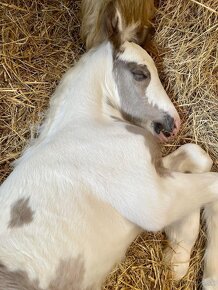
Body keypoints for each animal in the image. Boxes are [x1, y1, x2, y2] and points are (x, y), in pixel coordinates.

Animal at [0, 2, 218, 290]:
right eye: (140, 73)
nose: (174, 123)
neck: (88, 130)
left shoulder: (154, 171)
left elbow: (198, 156)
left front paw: (176, 257)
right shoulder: (154, 201)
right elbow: (214, 183)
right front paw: (210, 276)